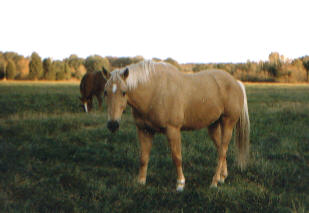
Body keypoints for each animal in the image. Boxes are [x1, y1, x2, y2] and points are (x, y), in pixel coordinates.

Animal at [102, 60, 249, 191]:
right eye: (105, 92)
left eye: (124, 92)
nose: (112, 124)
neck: (154, 91)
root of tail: (236, 82)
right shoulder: (144, 130)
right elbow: (143, 157)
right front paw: (141, 181)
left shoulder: (172, 130)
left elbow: (176, 157)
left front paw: (180, 184)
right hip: (213, 126)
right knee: (221, 150)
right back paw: (222, 177)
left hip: (228, 123)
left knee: (222, 151)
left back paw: (214, 182)